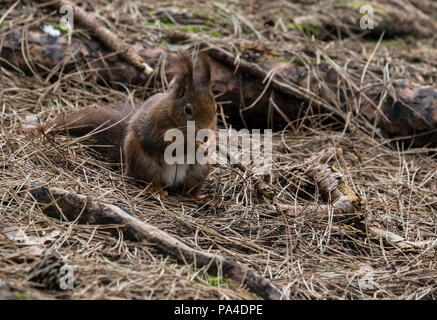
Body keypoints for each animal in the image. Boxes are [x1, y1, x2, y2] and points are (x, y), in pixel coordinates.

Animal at [37, 52, 216, 196]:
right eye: (187, 109)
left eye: (214, 106)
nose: (205, 133)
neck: (171, 113)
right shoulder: (155, 123)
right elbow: (162, 142)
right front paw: (192, 142)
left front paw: (210, 143)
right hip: (142, 160)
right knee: (146, 179)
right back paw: (155, 190)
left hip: (199, 170)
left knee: (188, 190)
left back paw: (199, 197)